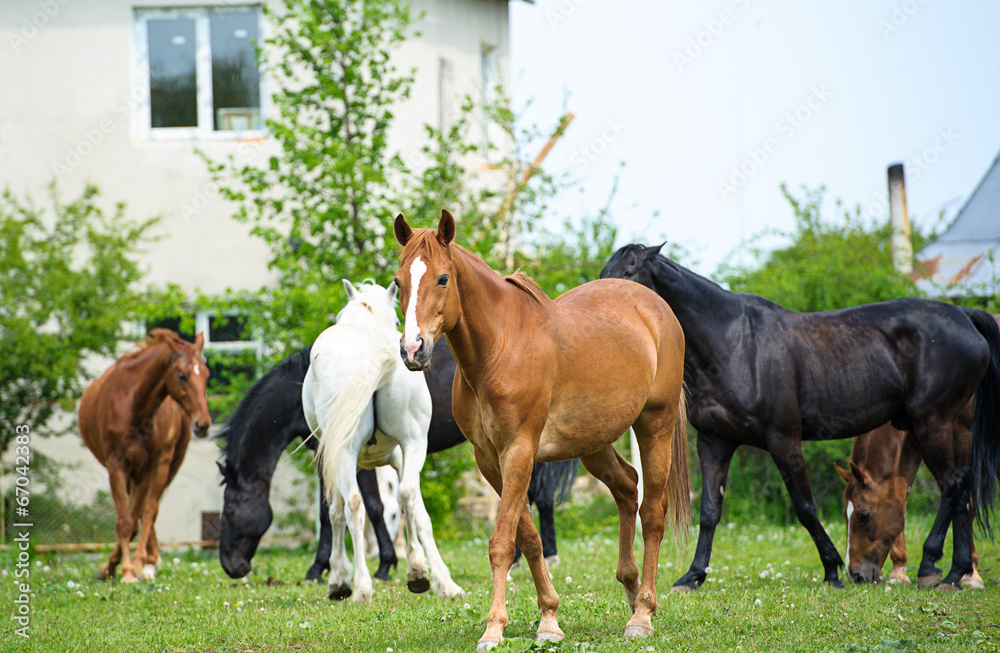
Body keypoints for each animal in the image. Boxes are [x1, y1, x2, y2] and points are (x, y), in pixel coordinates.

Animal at [79, 329, 211, 583]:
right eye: (182, 375)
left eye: (207, 375)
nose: (203, 424)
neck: (135, 406)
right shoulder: (117, 465)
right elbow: (126, 520)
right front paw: (125, 571)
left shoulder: (151, 467)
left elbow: (144, 514)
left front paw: (136, 567)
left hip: (163, 468)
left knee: (145, 511)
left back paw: (147, 563)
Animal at [302, 279, 464, 604]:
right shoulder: (399, 455)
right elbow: (413, 508)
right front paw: (427, 572)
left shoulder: (333, 457)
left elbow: (334, 511)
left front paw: (338, 577)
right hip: (414, 443)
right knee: (407, 494)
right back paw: (429, 577)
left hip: (347, 452)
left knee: (353, 505)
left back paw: (362, 586)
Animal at [393, 211, 690, 650]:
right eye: (399, 281)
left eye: (443, 278)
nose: (413, 350)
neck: (499, 349)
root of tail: (657, 308)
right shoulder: (491, 459)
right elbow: (528, 537)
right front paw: (549, 618)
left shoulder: (518, 450)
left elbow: (502, 543)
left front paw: (494, 628)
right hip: (594, 443)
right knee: (626, 487)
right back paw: (630, 586)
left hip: (655, 424)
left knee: (652, 512)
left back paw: (643, 613)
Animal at [837, 415, 984, 588]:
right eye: (844, 514)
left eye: (864, 515)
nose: (855, 575)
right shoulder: (911, 444)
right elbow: (900, 496)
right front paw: (899, 572)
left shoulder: (964, 436)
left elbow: (968, 502)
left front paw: (971, 574)